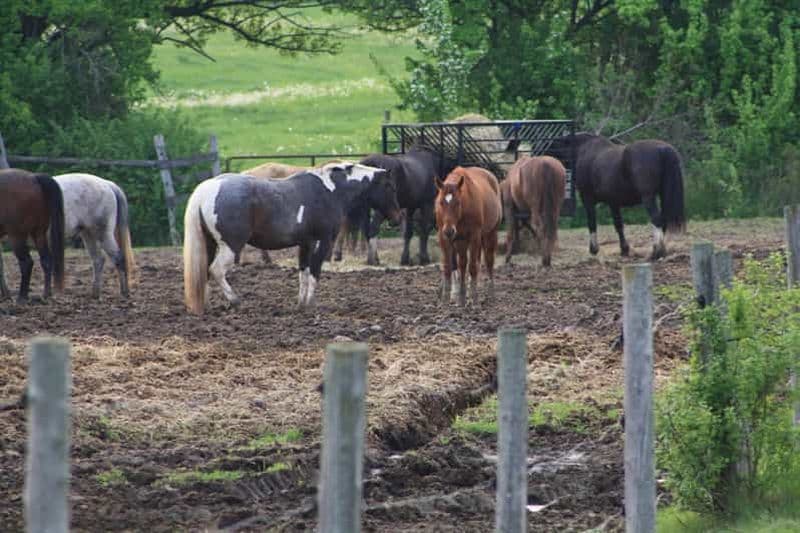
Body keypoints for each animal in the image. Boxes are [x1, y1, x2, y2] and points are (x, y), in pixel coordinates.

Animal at [0, 168, 65, 302]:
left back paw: (22, 297)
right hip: (39, 233)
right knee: (46, 260)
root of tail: (33, 178)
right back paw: (46, 294)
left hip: (17, 235)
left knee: (27, 263)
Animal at [183, 162, 402, 315]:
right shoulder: (323, 241)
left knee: (205, 272)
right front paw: (311, 304)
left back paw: (206, 305)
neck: (331, 191)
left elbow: (303, 272)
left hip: (210, 244)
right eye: (390, 187)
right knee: (216, 270)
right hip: (231, 247)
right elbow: (314, 271)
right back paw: (236, 301)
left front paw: (301, 304)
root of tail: (206, 189)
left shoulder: (305, 243)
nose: (397, 218)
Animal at [435, 166, 502, 306]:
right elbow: (450, 267)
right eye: (441, 202)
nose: (449, 230)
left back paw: (490, 294)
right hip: (462, 241)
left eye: (458, 202)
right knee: (464, 264)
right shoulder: (446, 238)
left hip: (490, 234)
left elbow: (472, 267)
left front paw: (474, 299)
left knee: (488, 261)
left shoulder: (474, 236)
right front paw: (447, 299)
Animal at [545, 133, 685, 259]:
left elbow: (592, 222)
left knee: (657, 219)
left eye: (553, 147)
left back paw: (656, 251)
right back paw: (661, 251)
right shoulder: (613, 202)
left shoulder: (587, 199)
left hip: (648, 197)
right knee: (663, 220)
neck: (584, 150)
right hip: (662, 195)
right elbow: (618, 225)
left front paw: (594, 249)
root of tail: (663, 149)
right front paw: (624, 249)